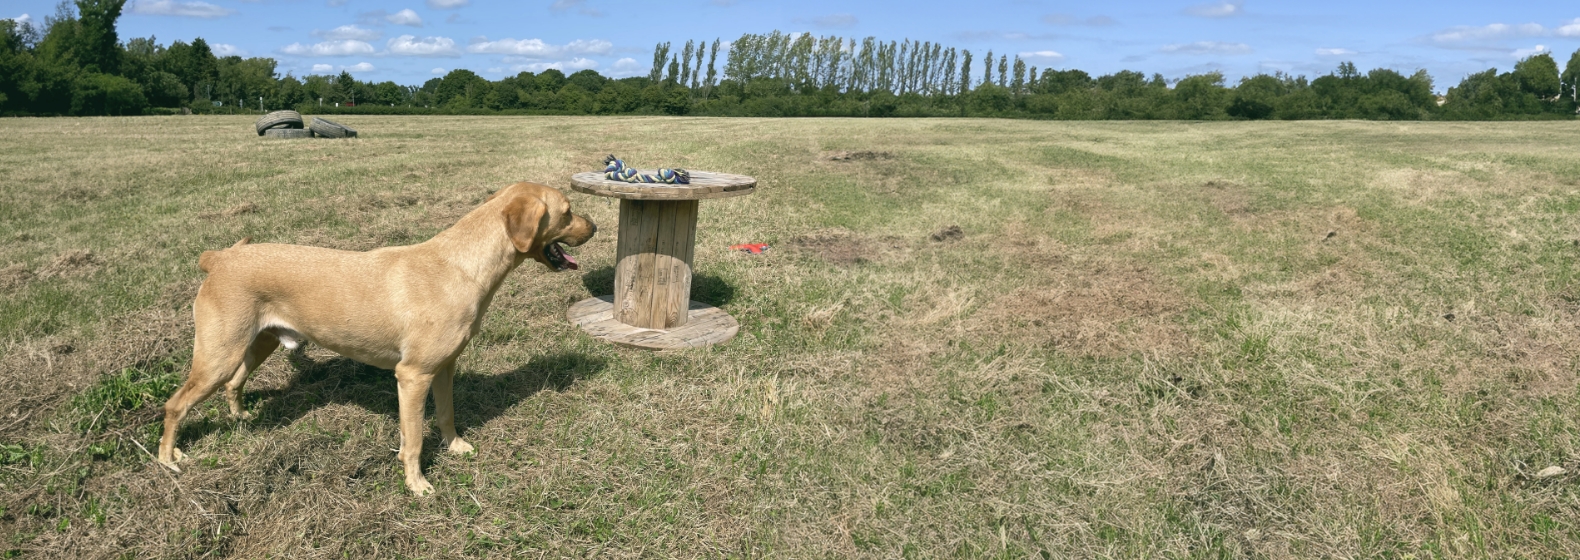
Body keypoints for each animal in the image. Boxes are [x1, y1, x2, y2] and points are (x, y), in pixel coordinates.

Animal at [160, 182, 594, 493]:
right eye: (568, 212)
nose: (596, 226)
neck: (461, 267)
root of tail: (219, 257)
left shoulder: (444, 368)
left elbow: (447, 415)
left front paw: (455, 447)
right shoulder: (412, 376)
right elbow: (414, 440)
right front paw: (417, 484)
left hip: (255, 345)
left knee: (233, 384)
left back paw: (241, 418)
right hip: (217, 355)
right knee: (175, 405)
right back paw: (168, 460)